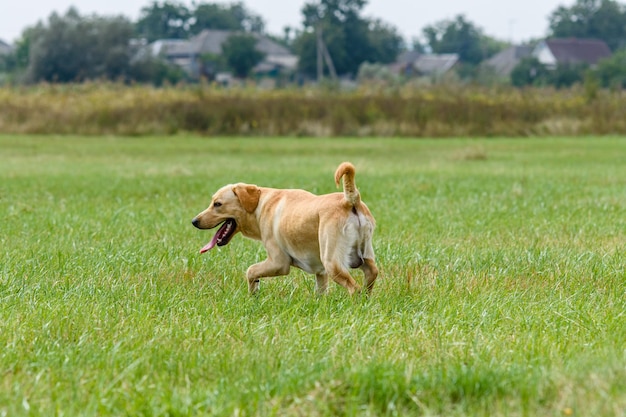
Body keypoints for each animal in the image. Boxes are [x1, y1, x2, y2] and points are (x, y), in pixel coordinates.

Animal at [191, 161, 376, 294]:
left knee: (355, 289)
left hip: (332, 262)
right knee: (371, 275)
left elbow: (251, 271)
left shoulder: (279, 262)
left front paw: (253, 294)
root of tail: (349, 200)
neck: (259, 204)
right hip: (363, 257)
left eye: (217, 204)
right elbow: (321, 291)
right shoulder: (321, 272)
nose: (194, 221)